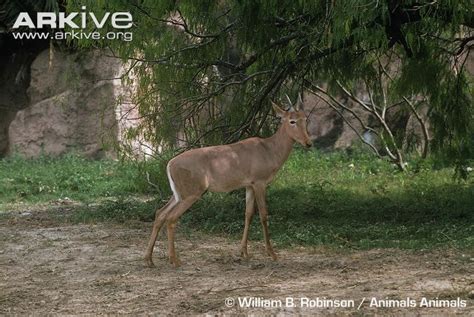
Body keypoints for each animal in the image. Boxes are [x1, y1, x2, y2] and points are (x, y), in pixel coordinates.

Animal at [146, 95, 312, 266]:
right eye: (292, 121)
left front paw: (244, 252)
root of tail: (169, 165)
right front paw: (272, 254)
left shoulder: (249, 185)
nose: (308, 143)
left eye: (305, 118)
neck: (270, 151)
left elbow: (248, 214)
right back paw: (174, 260)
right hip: (192, 192)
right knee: (171, 218)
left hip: (178, 193)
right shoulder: (260, 181)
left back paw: (149, 259)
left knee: (160, 213)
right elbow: (264, 214)